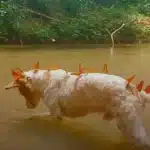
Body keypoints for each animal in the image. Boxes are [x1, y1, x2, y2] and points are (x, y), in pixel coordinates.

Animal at [4, 64, 150, 149]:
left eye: (22, 91)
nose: (29, 106)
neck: (45, 80)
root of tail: (137, 91)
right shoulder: (56, 113)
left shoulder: (55, 113)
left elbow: (38, 116)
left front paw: (29, 117)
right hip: (124, 124)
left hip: (131, 125)